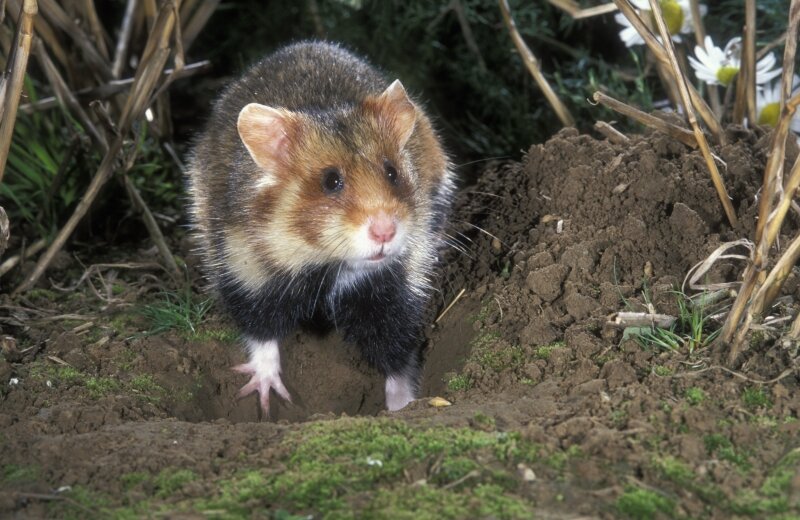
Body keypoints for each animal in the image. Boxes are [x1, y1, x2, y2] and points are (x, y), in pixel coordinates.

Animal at [186, 41, 454, 414]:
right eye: (331, 181)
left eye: (392, 172)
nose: (385, 232)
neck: (329, 262)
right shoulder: (246, 269)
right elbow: (262, 333)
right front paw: (265, 397)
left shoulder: (396, 286)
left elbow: (395, 355)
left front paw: (401, 406)